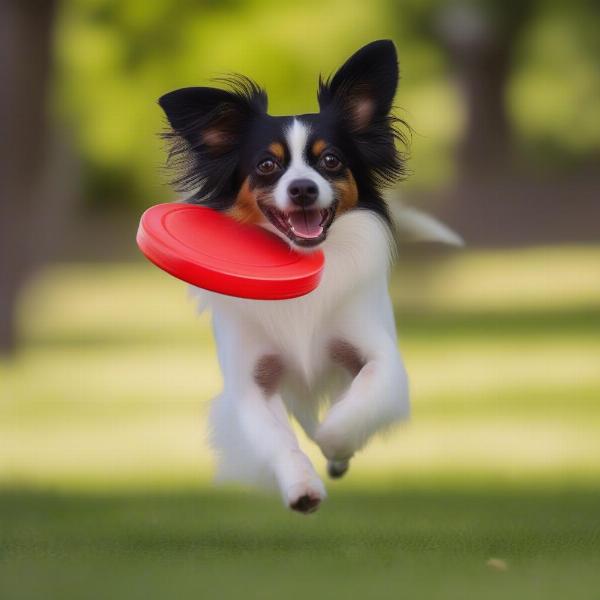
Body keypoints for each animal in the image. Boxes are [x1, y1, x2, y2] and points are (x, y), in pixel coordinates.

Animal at [157, 39, 458, 512]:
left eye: (330, 160)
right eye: (266, 166)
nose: (303, 188)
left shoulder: (378, 358)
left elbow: (352, 410)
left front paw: (337, 445)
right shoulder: (252, 384)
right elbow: (278, 439)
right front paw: (301, 486)